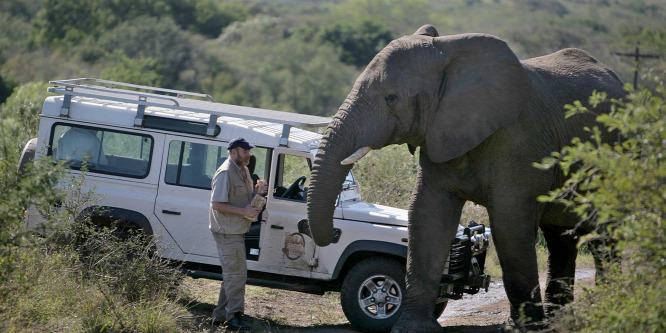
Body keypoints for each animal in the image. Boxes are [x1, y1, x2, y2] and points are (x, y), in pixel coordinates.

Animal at [304, 24, 624, 330]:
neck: (449, 56)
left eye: (391, 98)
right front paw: (412, 328)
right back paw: (562, 321)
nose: (330, 235)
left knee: (603, 235)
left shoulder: (519, 141)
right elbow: (428, 218)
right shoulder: (438, 132)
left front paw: (525, 328)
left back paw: (606, 307)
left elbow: (510, 227)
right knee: (561, 238)